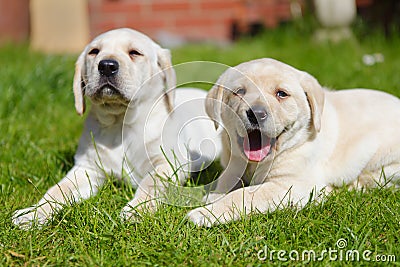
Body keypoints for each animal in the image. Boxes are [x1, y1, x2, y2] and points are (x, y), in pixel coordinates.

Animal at [188, 57, 400, 227]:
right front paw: (214, 195)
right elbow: (227, 178)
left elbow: (245, 195)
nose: (256, 113)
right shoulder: (234, 161)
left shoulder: (289, 185)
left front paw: (205, 213)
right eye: (239, 91)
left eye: (281, 94)